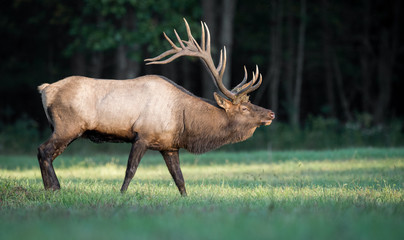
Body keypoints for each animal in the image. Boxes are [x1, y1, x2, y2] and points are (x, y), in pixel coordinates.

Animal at [37, 18, 274, 195]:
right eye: (244, 108)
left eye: (250, 103)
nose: (271, 113)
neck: (184, 121)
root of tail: (45, 88)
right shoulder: (142, 135)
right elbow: (130, 171)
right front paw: (121, 195)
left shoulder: (170, 146)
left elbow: (179, 178)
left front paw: (185, 198)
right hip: (67, 126)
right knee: (43, 150)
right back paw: (53, 189)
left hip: (68, 130)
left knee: (48, 153)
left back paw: (53, 188)